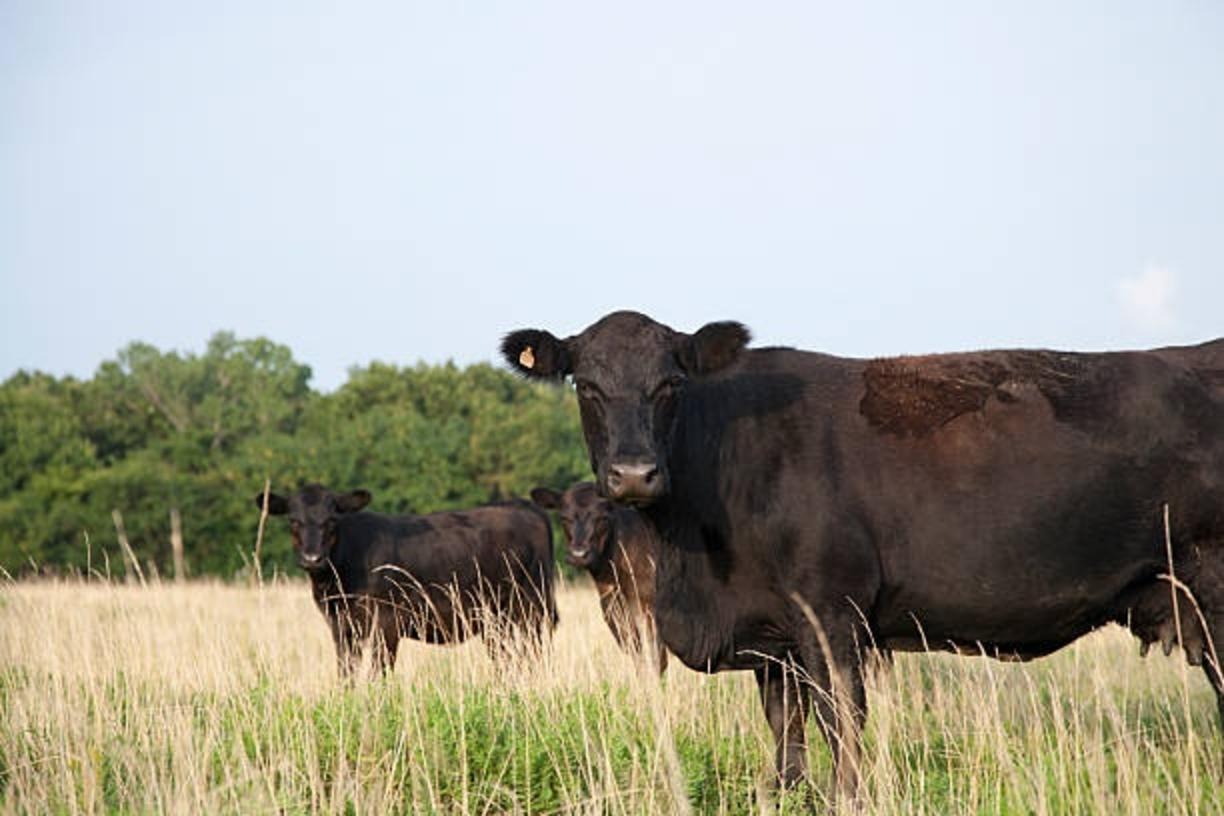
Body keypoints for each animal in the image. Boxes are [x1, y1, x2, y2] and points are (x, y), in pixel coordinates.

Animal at [255, 484, 558, 677]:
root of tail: (521, 505)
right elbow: (346, 674)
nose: (312, 558)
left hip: (532, 608)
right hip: (496, 620)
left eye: (331, 520)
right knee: (506, 659)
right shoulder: (342, 627)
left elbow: (379, 674)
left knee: (534, 653)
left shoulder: (387, 622)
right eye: (293, 521)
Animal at [530, 482, 667, 673]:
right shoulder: (614, 612)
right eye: (564, 518)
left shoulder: (652, 612)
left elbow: (656, 658)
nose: (579, 554)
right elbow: (637, 655)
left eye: (602, 518)